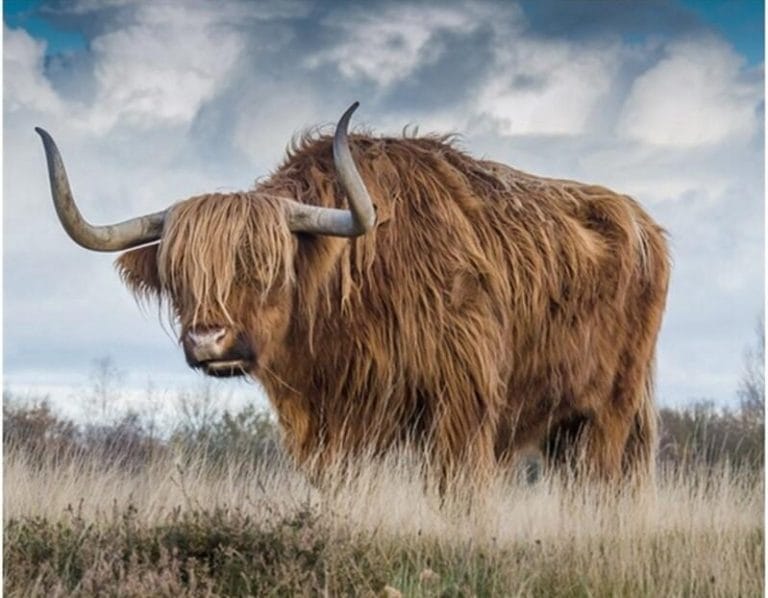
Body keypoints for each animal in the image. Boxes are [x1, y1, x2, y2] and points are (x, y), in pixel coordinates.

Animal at [36, 103, 669, 484]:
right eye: (179, 276)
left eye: (266, 267)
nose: (208, 341)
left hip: (611, 410)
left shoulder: (462, 406)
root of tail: (642, 222)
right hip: (567, 425)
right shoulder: (330, 425)